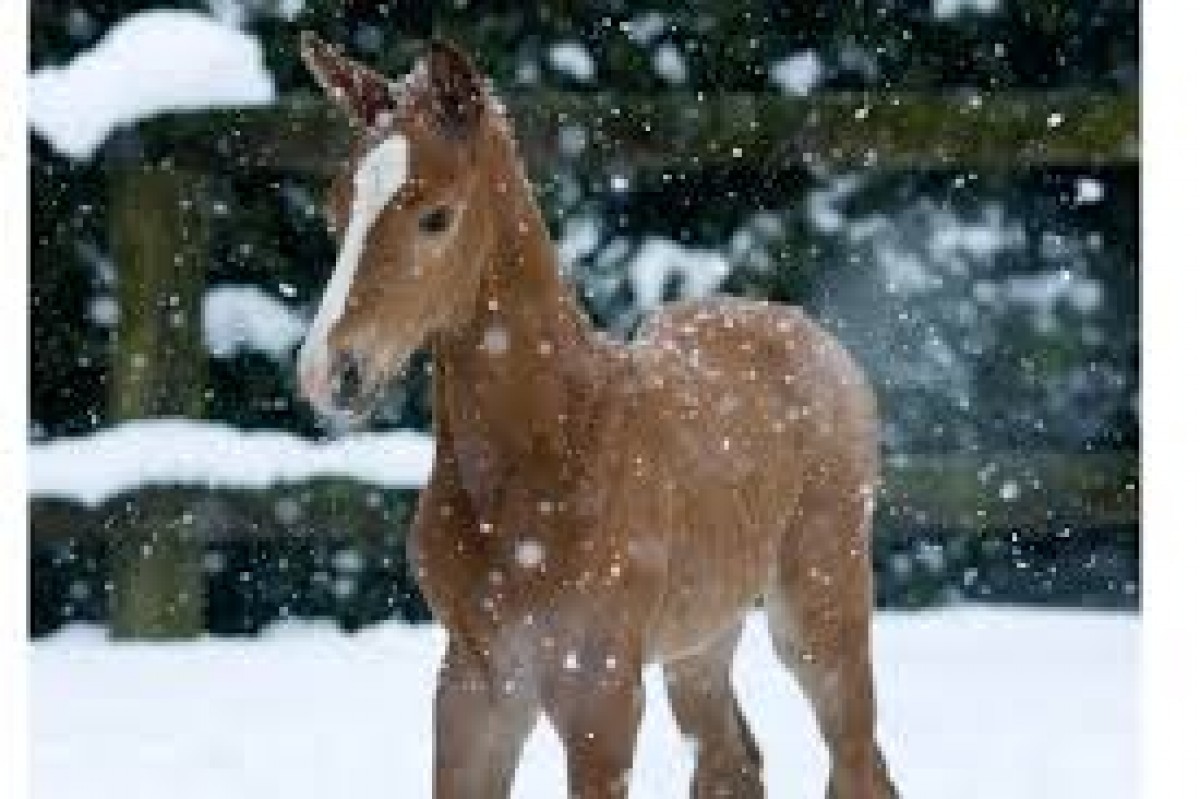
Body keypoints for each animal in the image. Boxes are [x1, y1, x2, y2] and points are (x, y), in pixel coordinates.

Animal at [295, 33, 899, 799]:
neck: (550, 447)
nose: (328, 372)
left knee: (856, 758)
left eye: (436, 215)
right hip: (701, 639)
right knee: (732, 760)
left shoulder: (600, 691)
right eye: (336, 210)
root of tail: (812, 335)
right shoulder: (474, 686)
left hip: (819, 610)